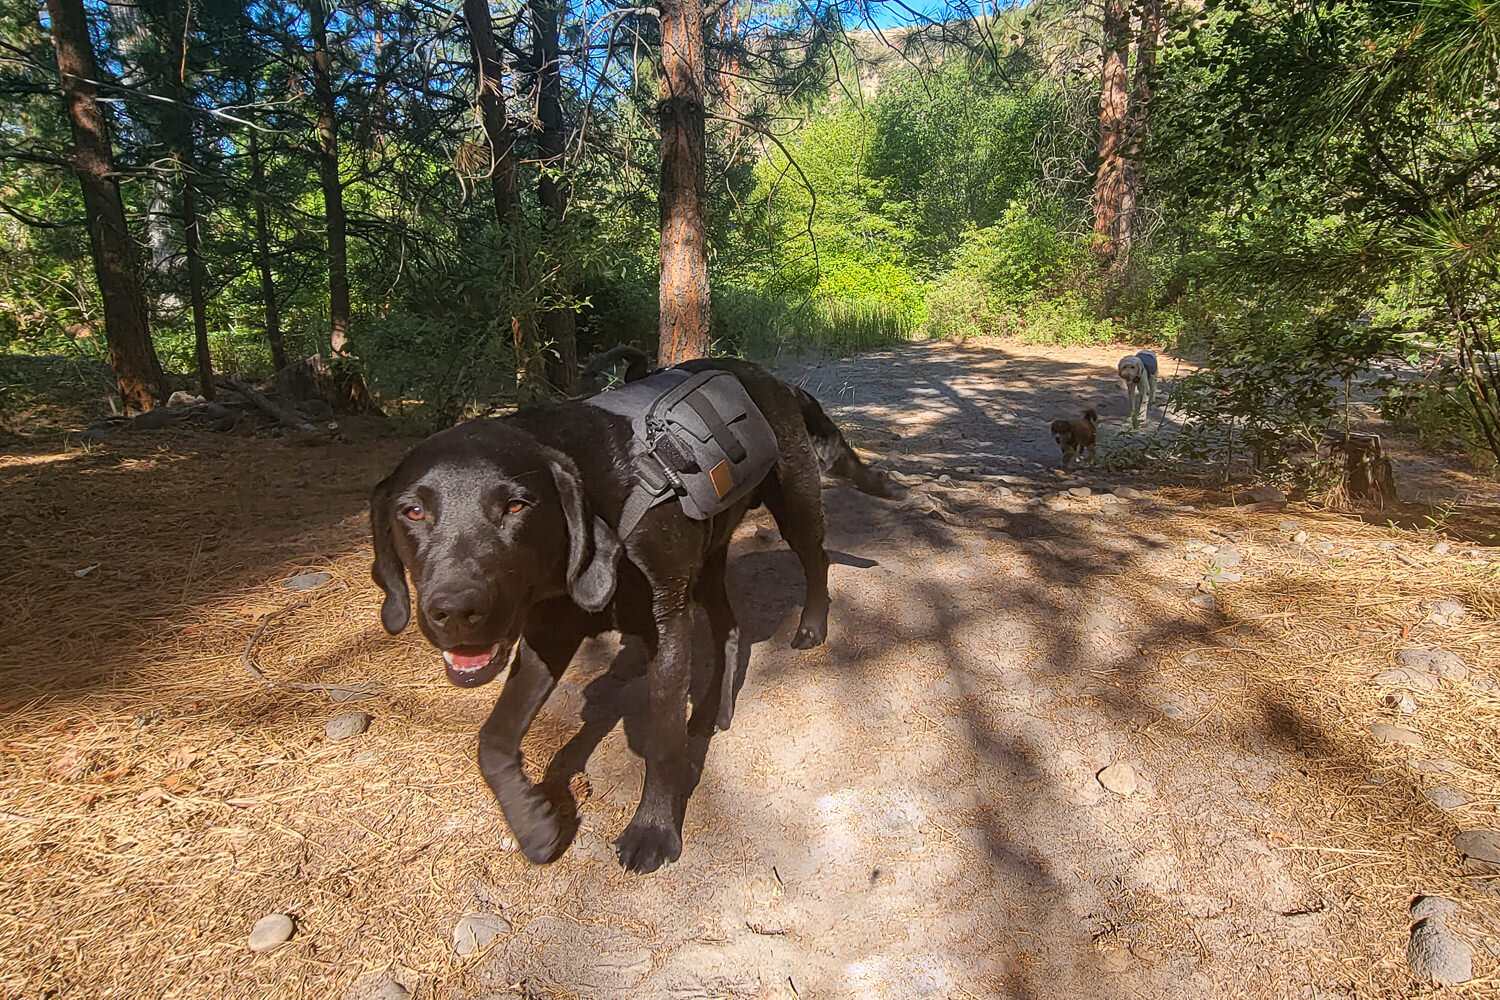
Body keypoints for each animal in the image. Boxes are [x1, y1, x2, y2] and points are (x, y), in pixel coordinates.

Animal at [373, 358, 882, 869]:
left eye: (516, 506)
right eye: (412, 511)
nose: (456, 610)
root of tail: (777, 381)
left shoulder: (667, 628)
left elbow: (661, 740)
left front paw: (653, 829)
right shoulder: (548, 635)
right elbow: (493, 739)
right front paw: (533, 823)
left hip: (794, 505)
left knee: (817, 560)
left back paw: (812, 626)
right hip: (706, 564)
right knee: (730, 628)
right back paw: (712, 709)